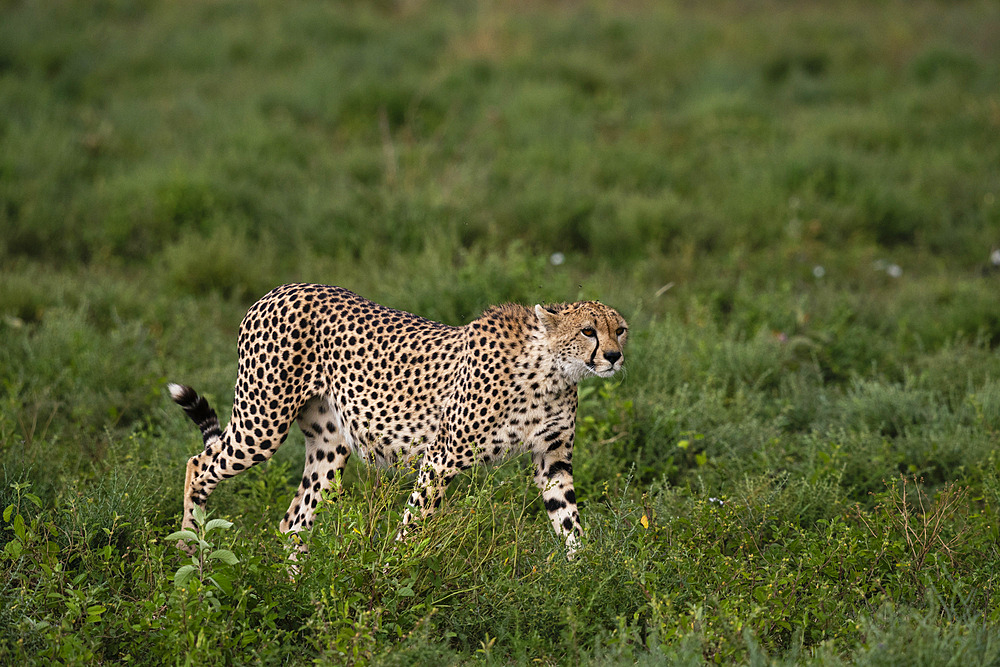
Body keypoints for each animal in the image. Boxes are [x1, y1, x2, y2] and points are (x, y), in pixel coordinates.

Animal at [170, 284, 624, 556]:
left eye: (620, 330)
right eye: (587, 331)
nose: (615, 356)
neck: (551, 371)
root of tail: (279, 290)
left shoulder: (553, 461)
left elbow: (568, 520)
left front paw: (581, 575)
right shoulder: (441, 458)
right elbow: (416, 524)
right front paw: (393, 572)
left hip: (329, 446)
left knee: (293, 522)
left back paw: (295, 587)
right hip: (262, 423)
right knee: (198, 464)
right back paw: (191, 547)